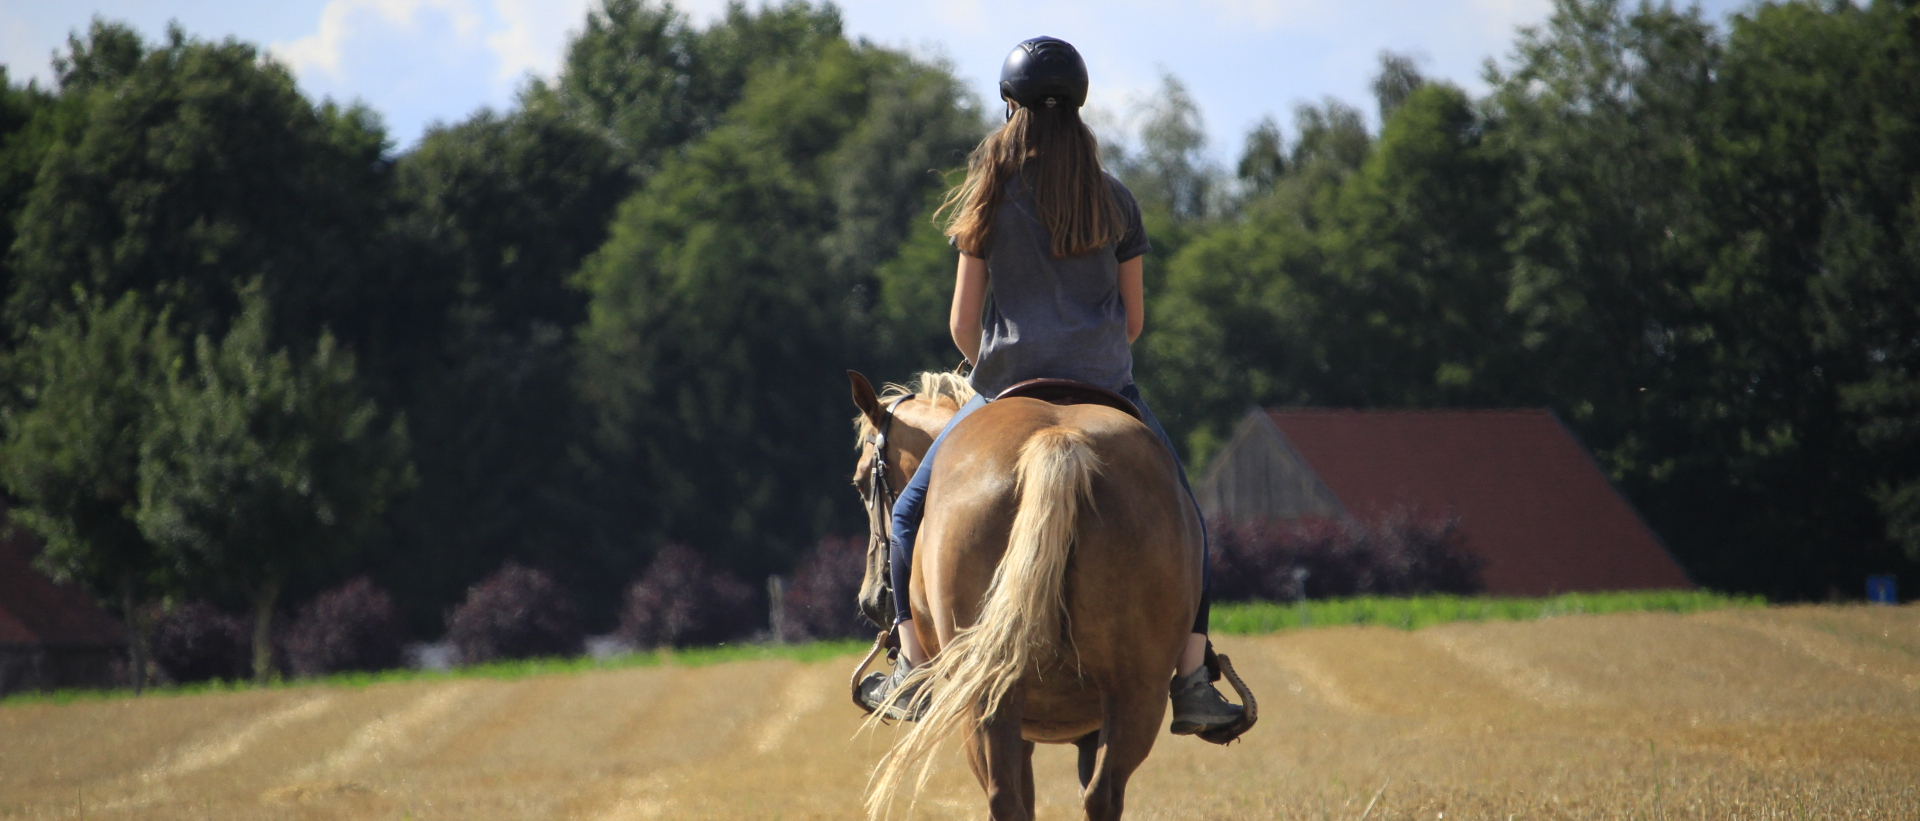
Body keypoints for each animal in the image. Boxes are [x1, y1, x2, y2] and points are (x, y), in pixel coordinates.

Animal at [852, 374, 1236, 821]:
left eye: (861, 481)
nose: (871, 599)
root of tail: (1059, 439)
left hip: (983, 700)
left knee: (1007, 798)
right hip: (1136, 690)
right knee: (1101, 795)